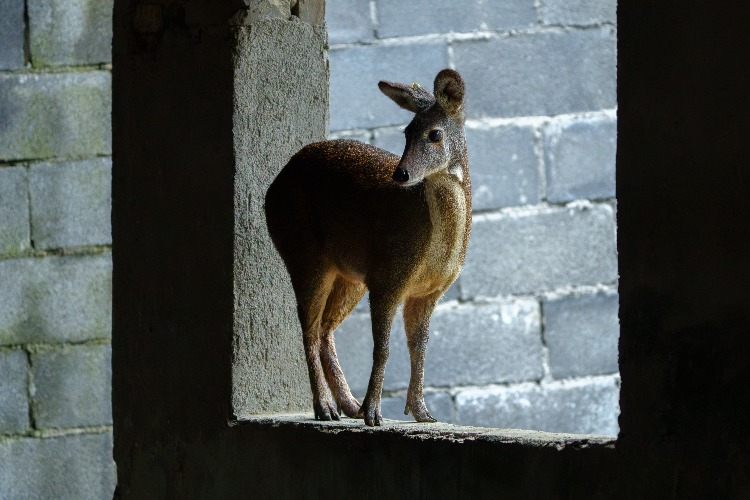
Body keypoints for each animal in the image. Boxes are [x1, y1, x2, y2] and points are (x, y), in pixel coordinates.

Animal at [266, 67, 470, 426]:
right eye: (406, 132)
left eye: (434, 134)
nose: (401, 174)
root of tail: (268, 193)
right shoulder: (389, 276)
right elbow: (383, 348)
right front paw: (375, 414)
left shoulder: (428, 292)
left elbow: (420, 348)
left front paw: (421, 412)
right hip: (304, 253)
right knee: (308, 328)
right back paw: (326, 408)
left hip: (349, 277)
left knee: (324, 329)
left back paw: (348, 405)